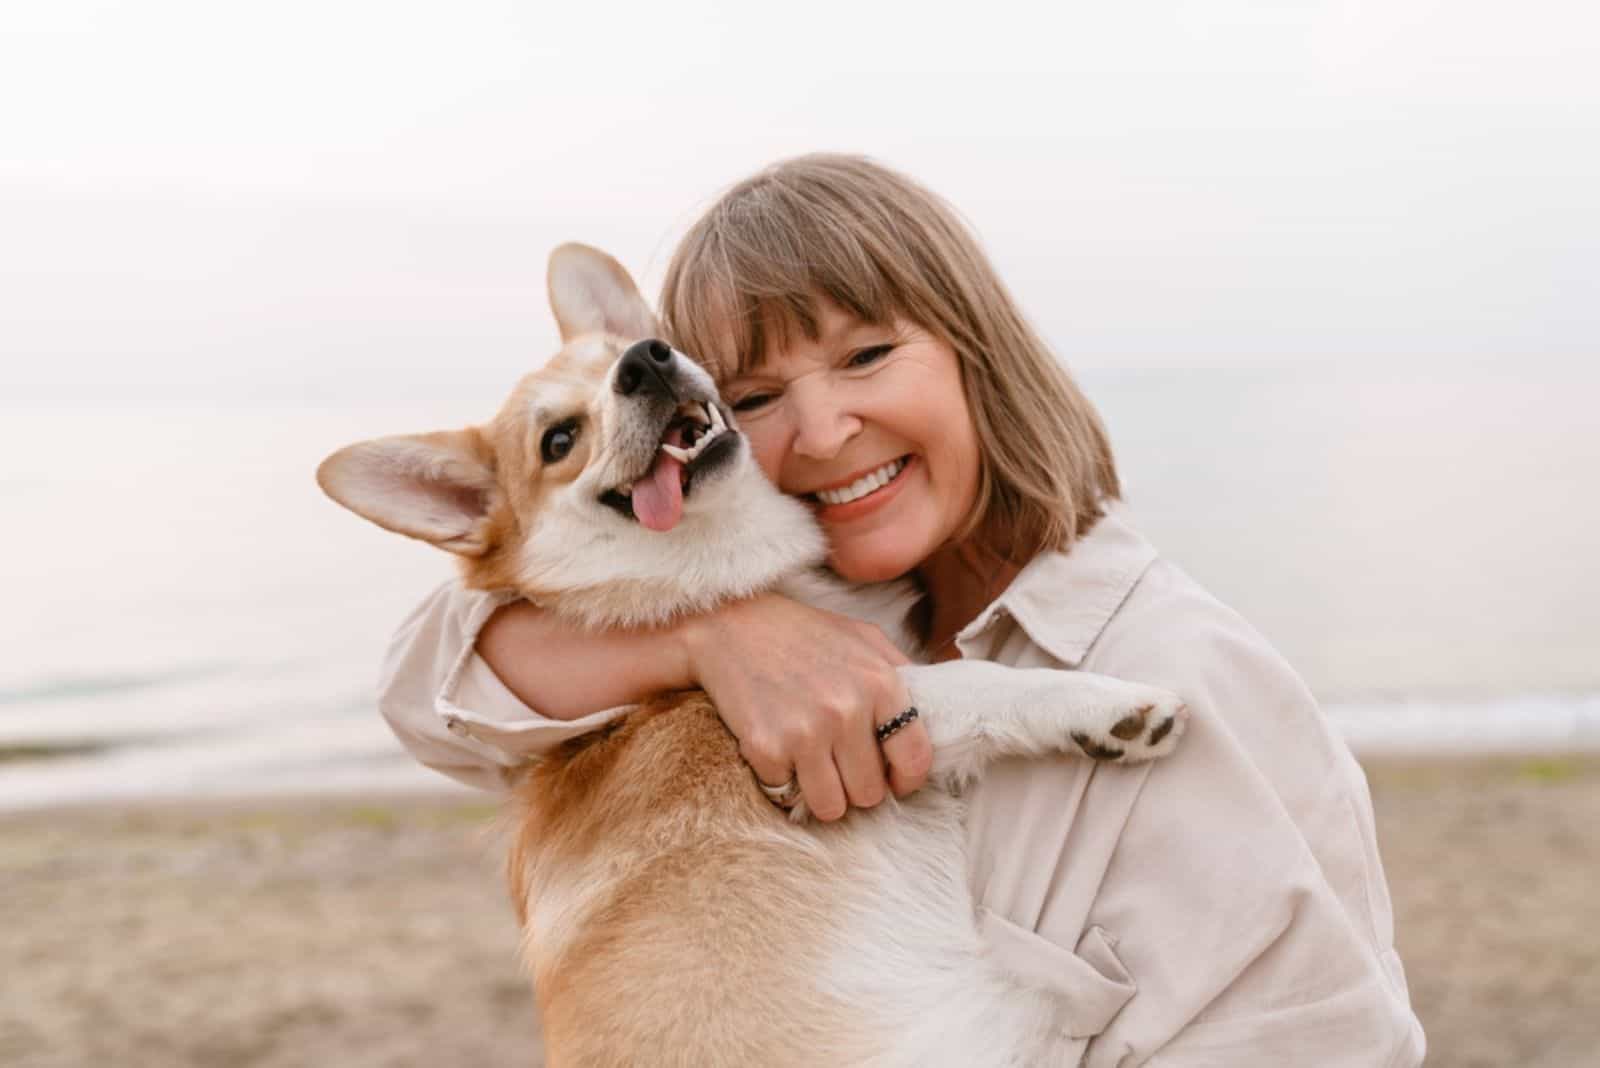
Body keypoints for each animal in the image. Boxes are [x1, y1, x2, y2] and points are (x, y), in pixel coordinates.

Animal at [315, 244, 1190, 1068]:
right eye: (558, 440)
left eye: (632, 349)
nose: (647, 362)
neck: (728, 573)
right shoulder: (868, 705)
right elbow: (978, 681)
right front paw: (1112, 707)